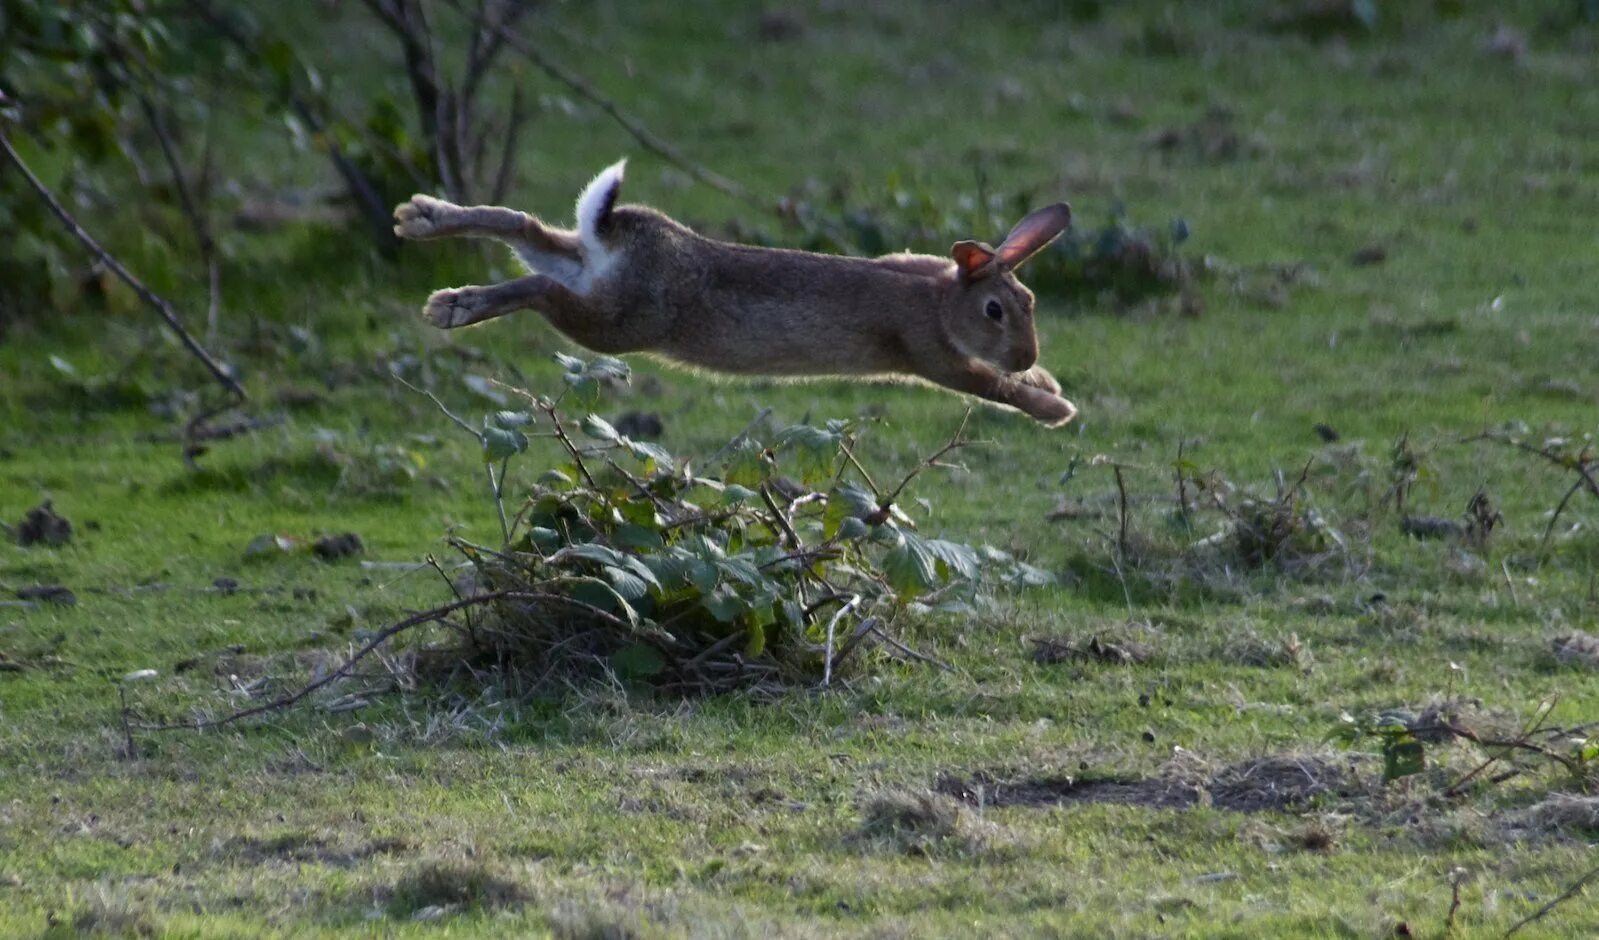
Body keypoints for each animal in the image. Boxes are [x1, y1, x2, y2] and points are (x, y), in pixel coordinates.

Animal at [393, 160, 1080, 425]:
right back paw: (452, 307)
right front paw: (1054, 407)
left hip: (585, 270)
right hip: (622, 323)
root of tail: (613, 234)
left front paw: (1044, 382)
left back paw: (424, 220)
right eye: (994, 311)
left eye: (1029, 305)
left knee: (527, 231)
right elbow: (987, 387)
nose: (1027, 354)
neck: (941, 298)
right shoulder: (930, 352)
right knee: (541, 289)